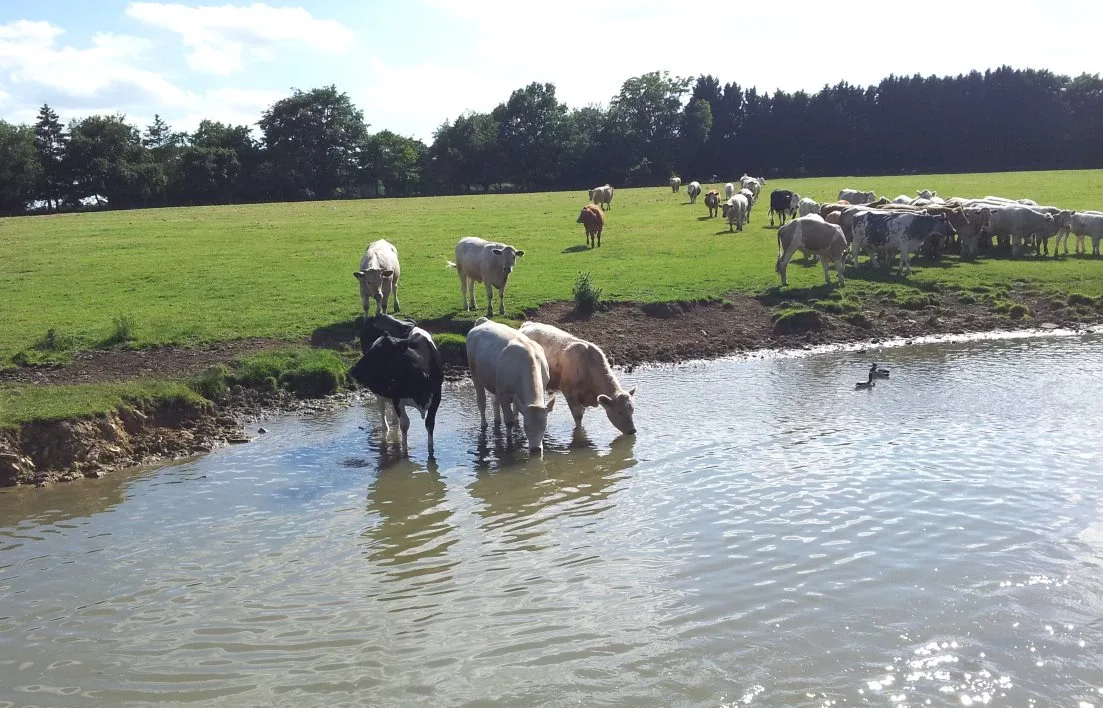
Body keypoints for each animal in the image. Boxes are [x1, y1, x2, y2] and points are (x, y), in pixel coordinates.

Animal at [349, 314, 443, 456]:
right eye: (371, 349)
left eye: (380, 353)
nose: (353, 370)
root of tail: (378, 316)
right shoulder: (397, 397)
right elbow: (405, 424)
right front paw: (404, 451)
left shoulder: (437, 396)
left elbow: (429, 423)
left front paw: (431, 452)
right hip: (379, 391)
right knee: (382, 410)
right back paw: (386, 429)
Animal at [466, 318, 556, 454]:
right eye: (526, 426)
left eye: (544, 426)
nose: (536, 449)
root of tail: (484, 321)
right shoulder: (503, 393)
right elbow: (508, 421)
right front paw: (509, 442)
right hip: (475, 374)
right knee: (481, 401)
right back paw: (484, 424)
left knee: (494, 401)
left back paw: (497, 419)